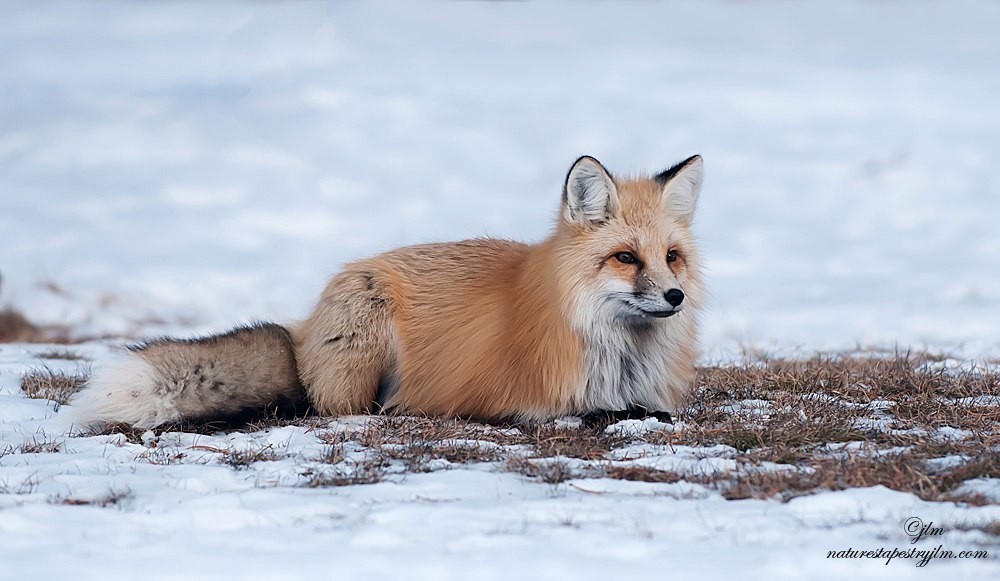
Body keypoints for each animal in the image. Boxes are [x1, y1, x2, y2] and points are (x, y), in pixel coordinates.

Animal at [66, 153, 708, 426]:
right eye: (625, 258)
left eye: (671, 258)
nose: (674, 298)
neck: (619, 357)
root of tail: (303, 329)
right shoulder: (513, 398)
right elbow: (594, 412)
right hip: (367, 331)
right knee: (335, 408)